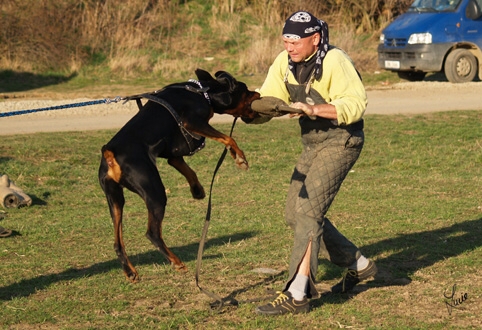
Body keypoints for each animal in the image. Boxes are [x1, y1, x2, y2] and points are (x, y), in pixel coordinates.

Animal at [97, 69, 260, 282]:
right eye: (246, 89)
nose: (258, 93)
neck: (202, 92)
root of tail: (110, 153)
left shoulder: (172, 151)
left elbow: (186, 167)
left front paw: (197, 190)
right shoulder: (193, 122)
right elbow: (228, 137)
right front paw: (240, 157)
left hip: (115, 199)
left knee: (118, 242)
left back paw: (131, 272)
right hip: (154, 191)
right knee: (152, 233)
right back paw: (177, 262)